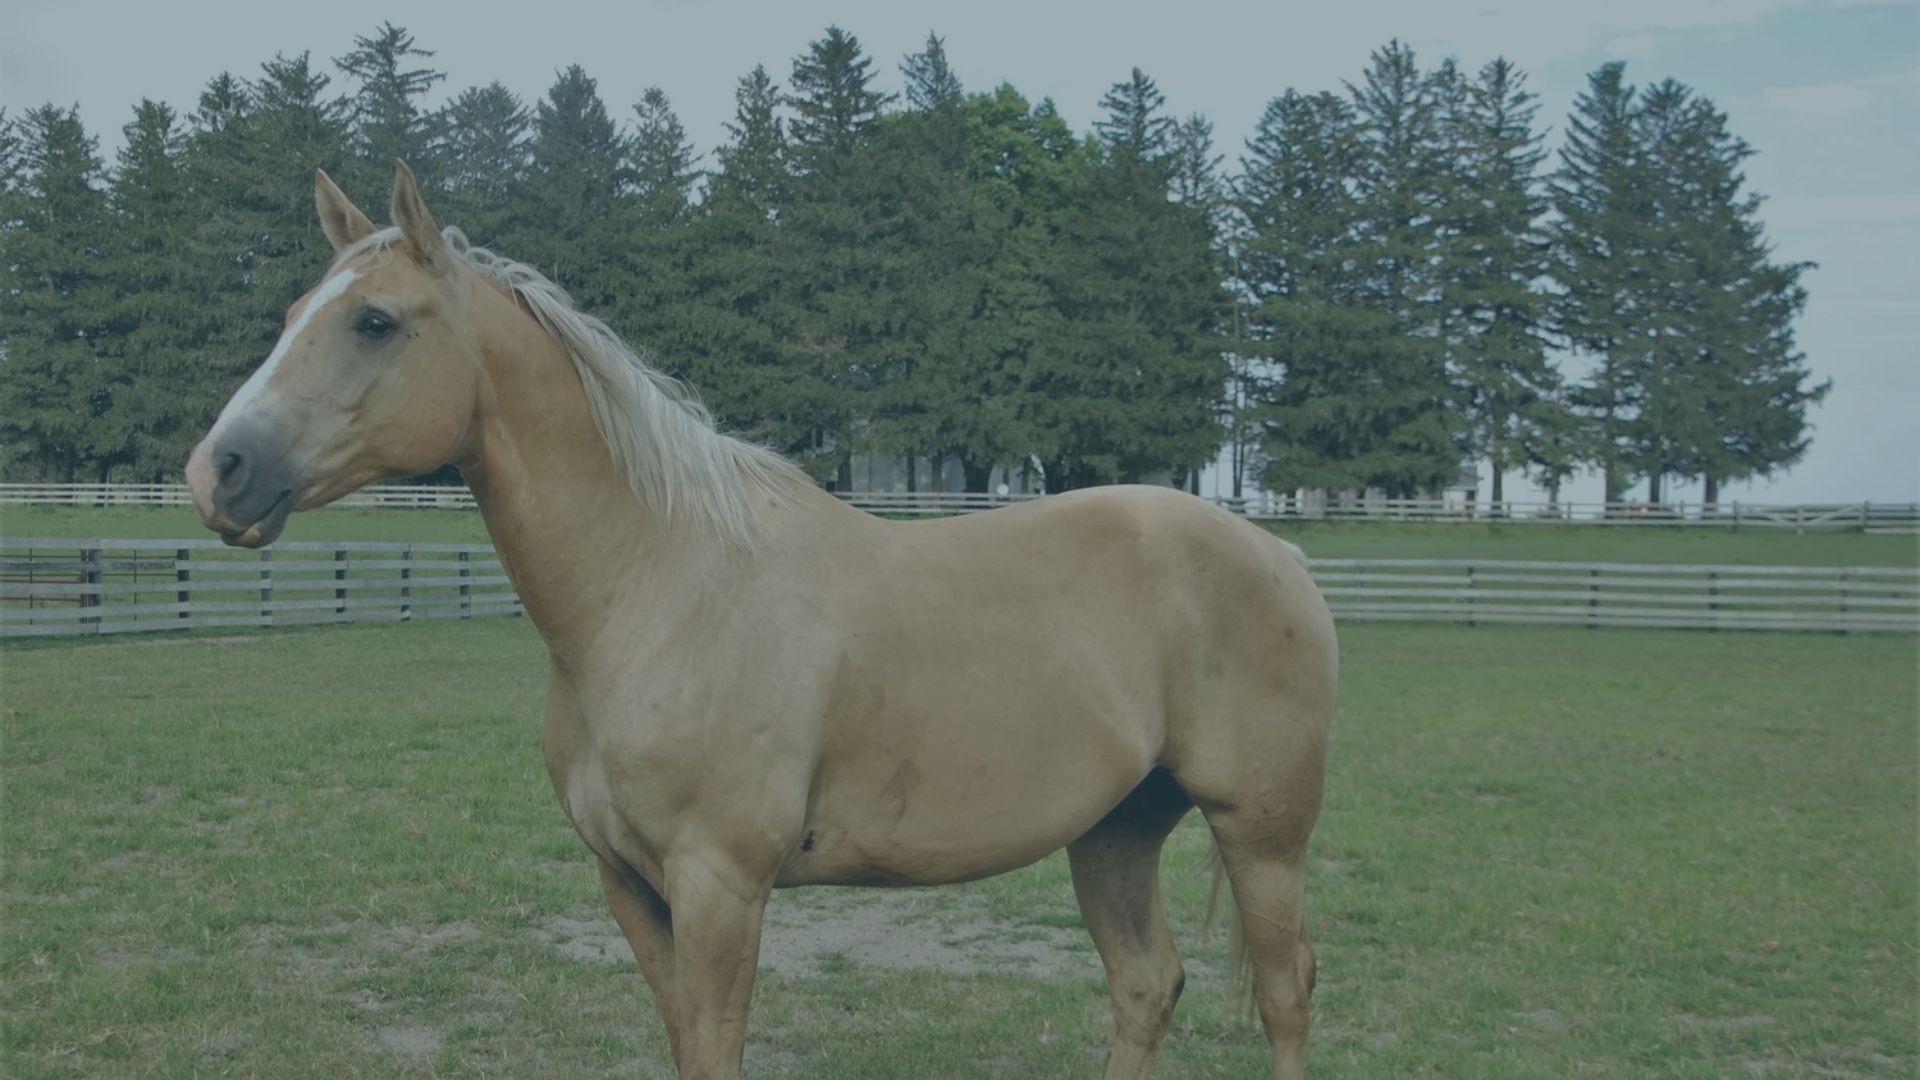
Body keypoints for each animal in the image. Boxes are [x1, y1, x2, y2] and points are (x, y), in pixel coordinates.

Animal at [184, 161, 1337, 1080]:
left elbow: (716, 1048)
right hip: (1116, 829)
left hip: (1261, 836)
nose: (219, 473)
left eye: (374, 321)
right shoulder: (631, 887)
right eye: (294, 313)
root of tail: (1278, 555)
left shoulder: (721, 888)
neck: (660, 589)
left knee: (1286, 994)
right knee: (1146, 984)